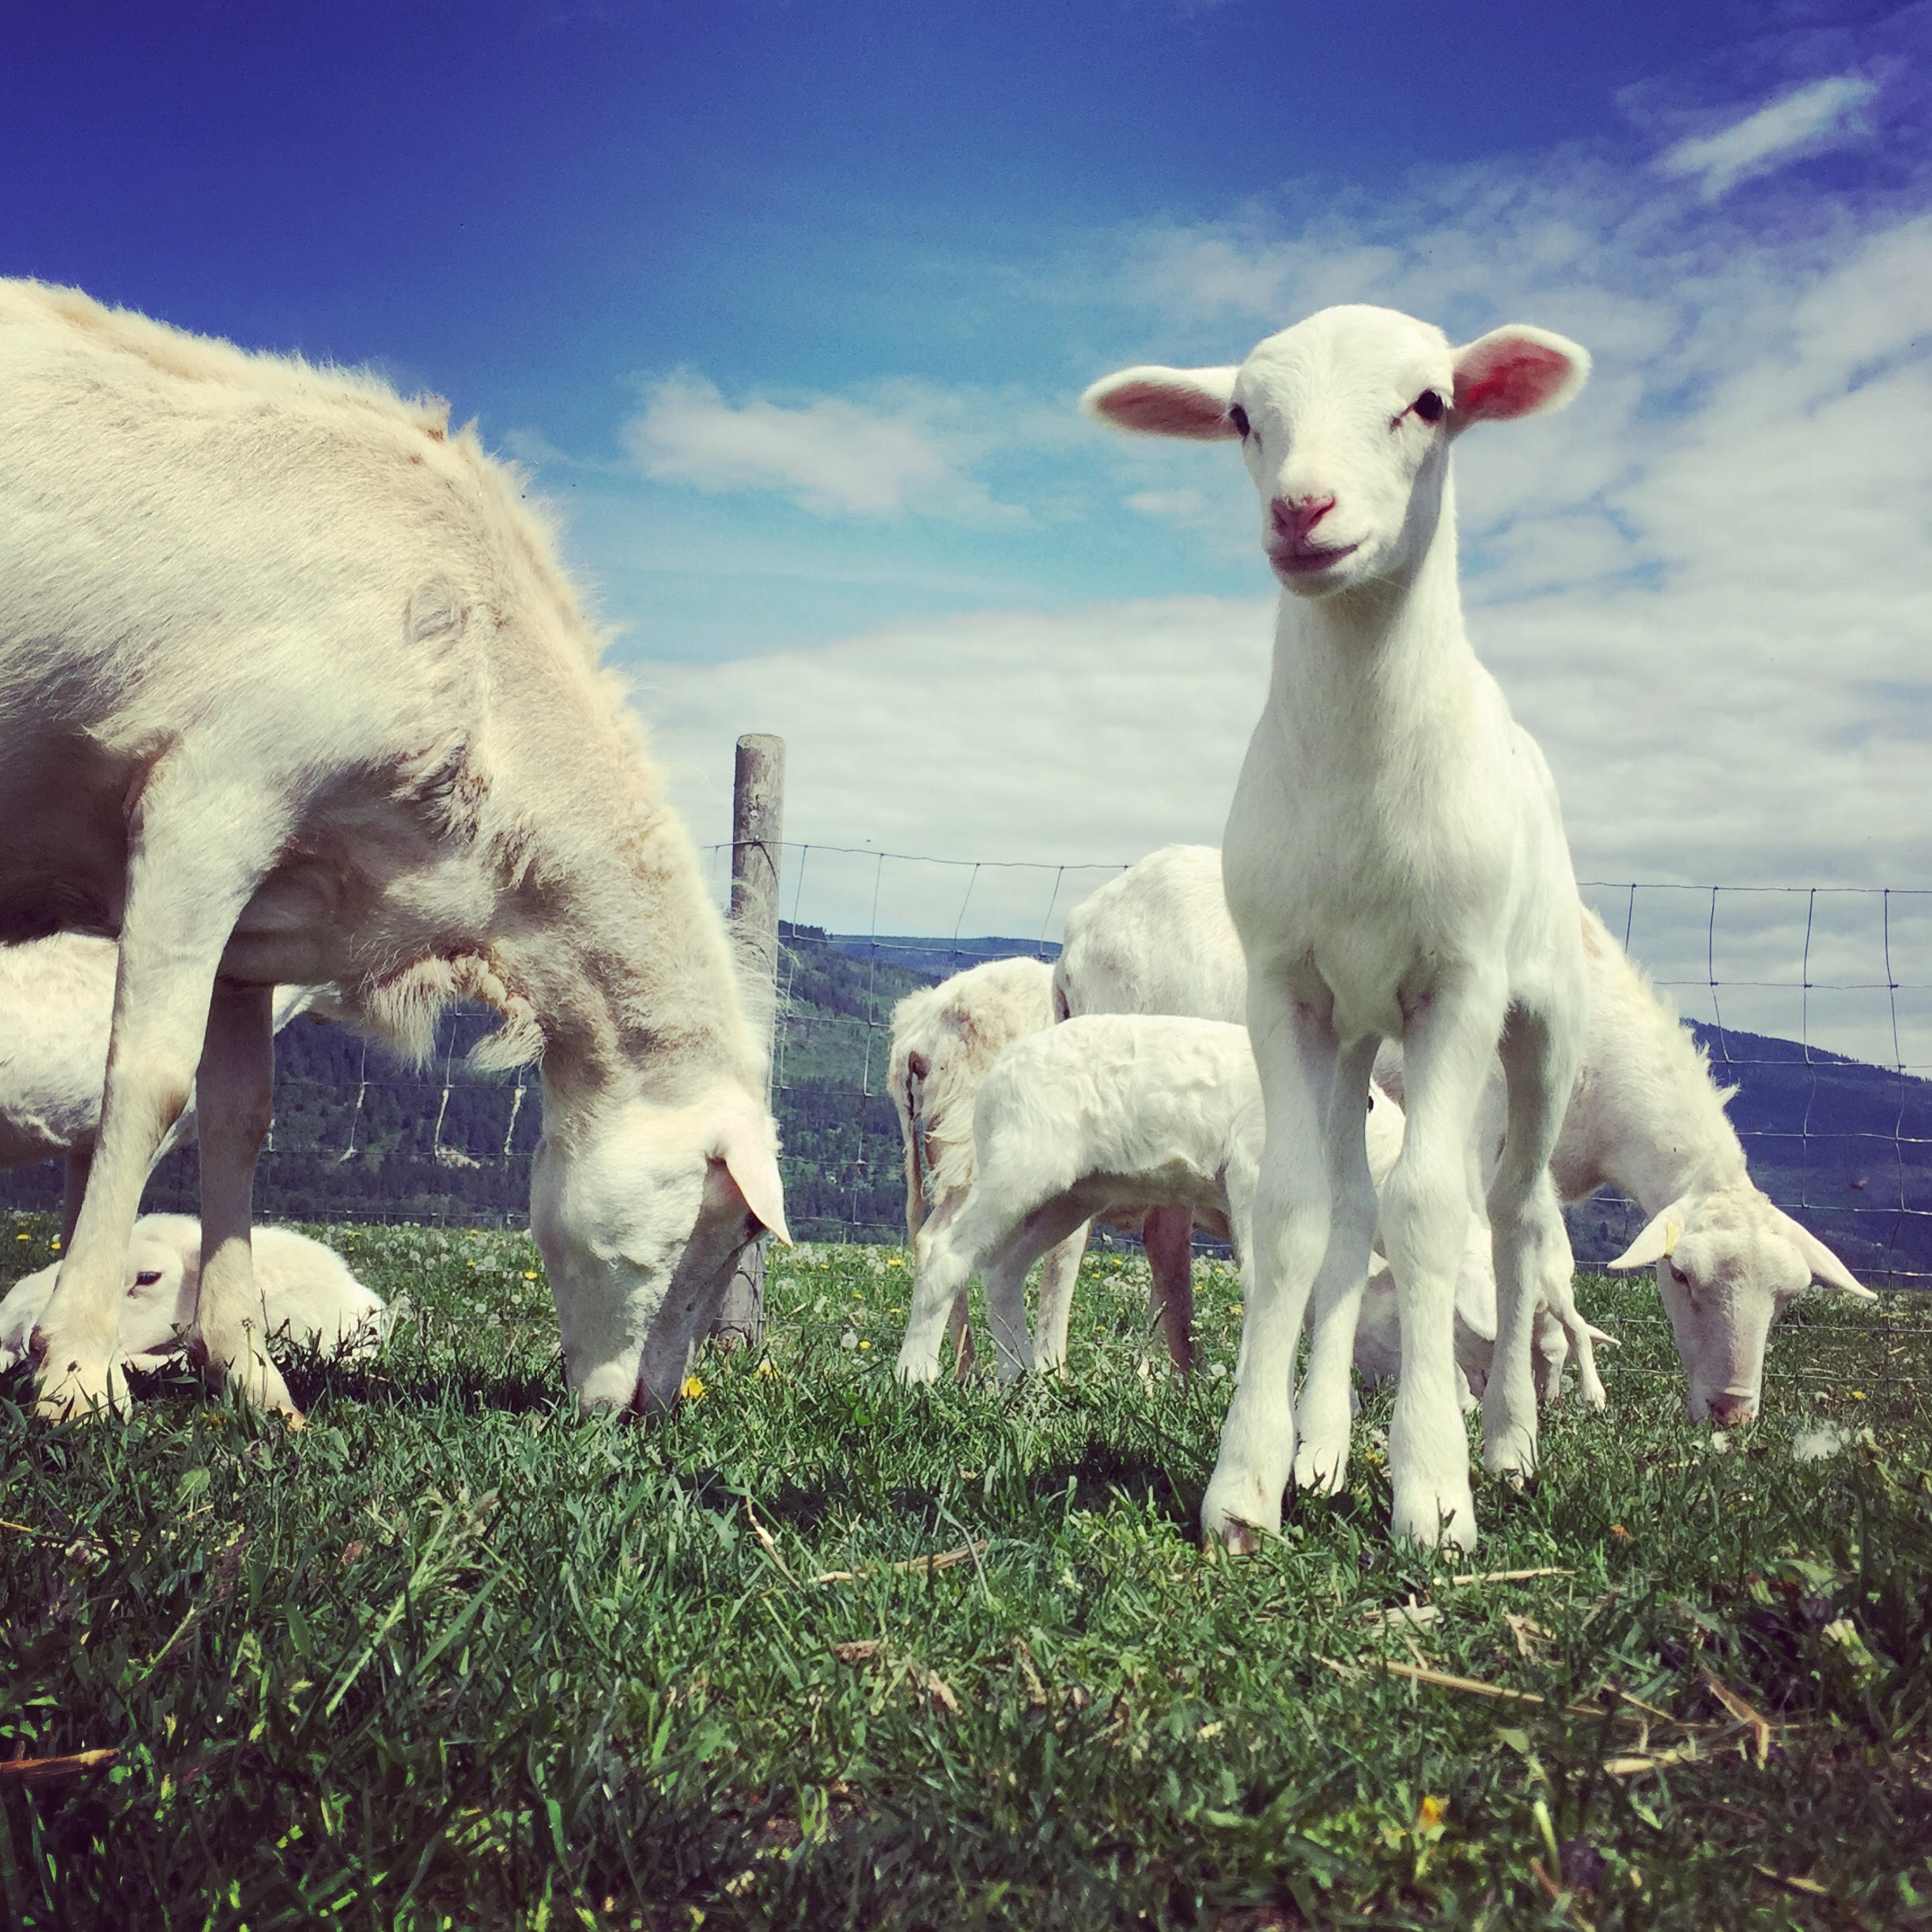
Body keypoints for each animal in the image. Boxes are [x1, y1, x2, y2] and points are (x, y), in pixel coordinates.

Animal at [887, 956, 1082, 1373]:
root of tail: (919, 1030)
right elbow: (1064, 1257)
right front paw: (1052, 1366)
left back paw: (965, 1368)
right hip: (979, 1154)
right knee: (939, 1241)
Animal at [1086, 305, 1593, 1551]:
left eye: (1428, 402)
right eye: (1238, 416)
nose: (1300, 508)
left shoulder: (1457, 983)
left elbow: (1429, 1210)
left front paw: (1434, 1493)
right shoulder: (1285, 983)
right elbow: (1298, 1211)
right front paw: (1247, 1483)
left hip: (1541, 1020)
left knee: (1515, 1215)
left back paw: (1508, 1443)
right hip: (1362, 1028)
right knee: (1355, 1207)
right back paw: (1319, 1448)